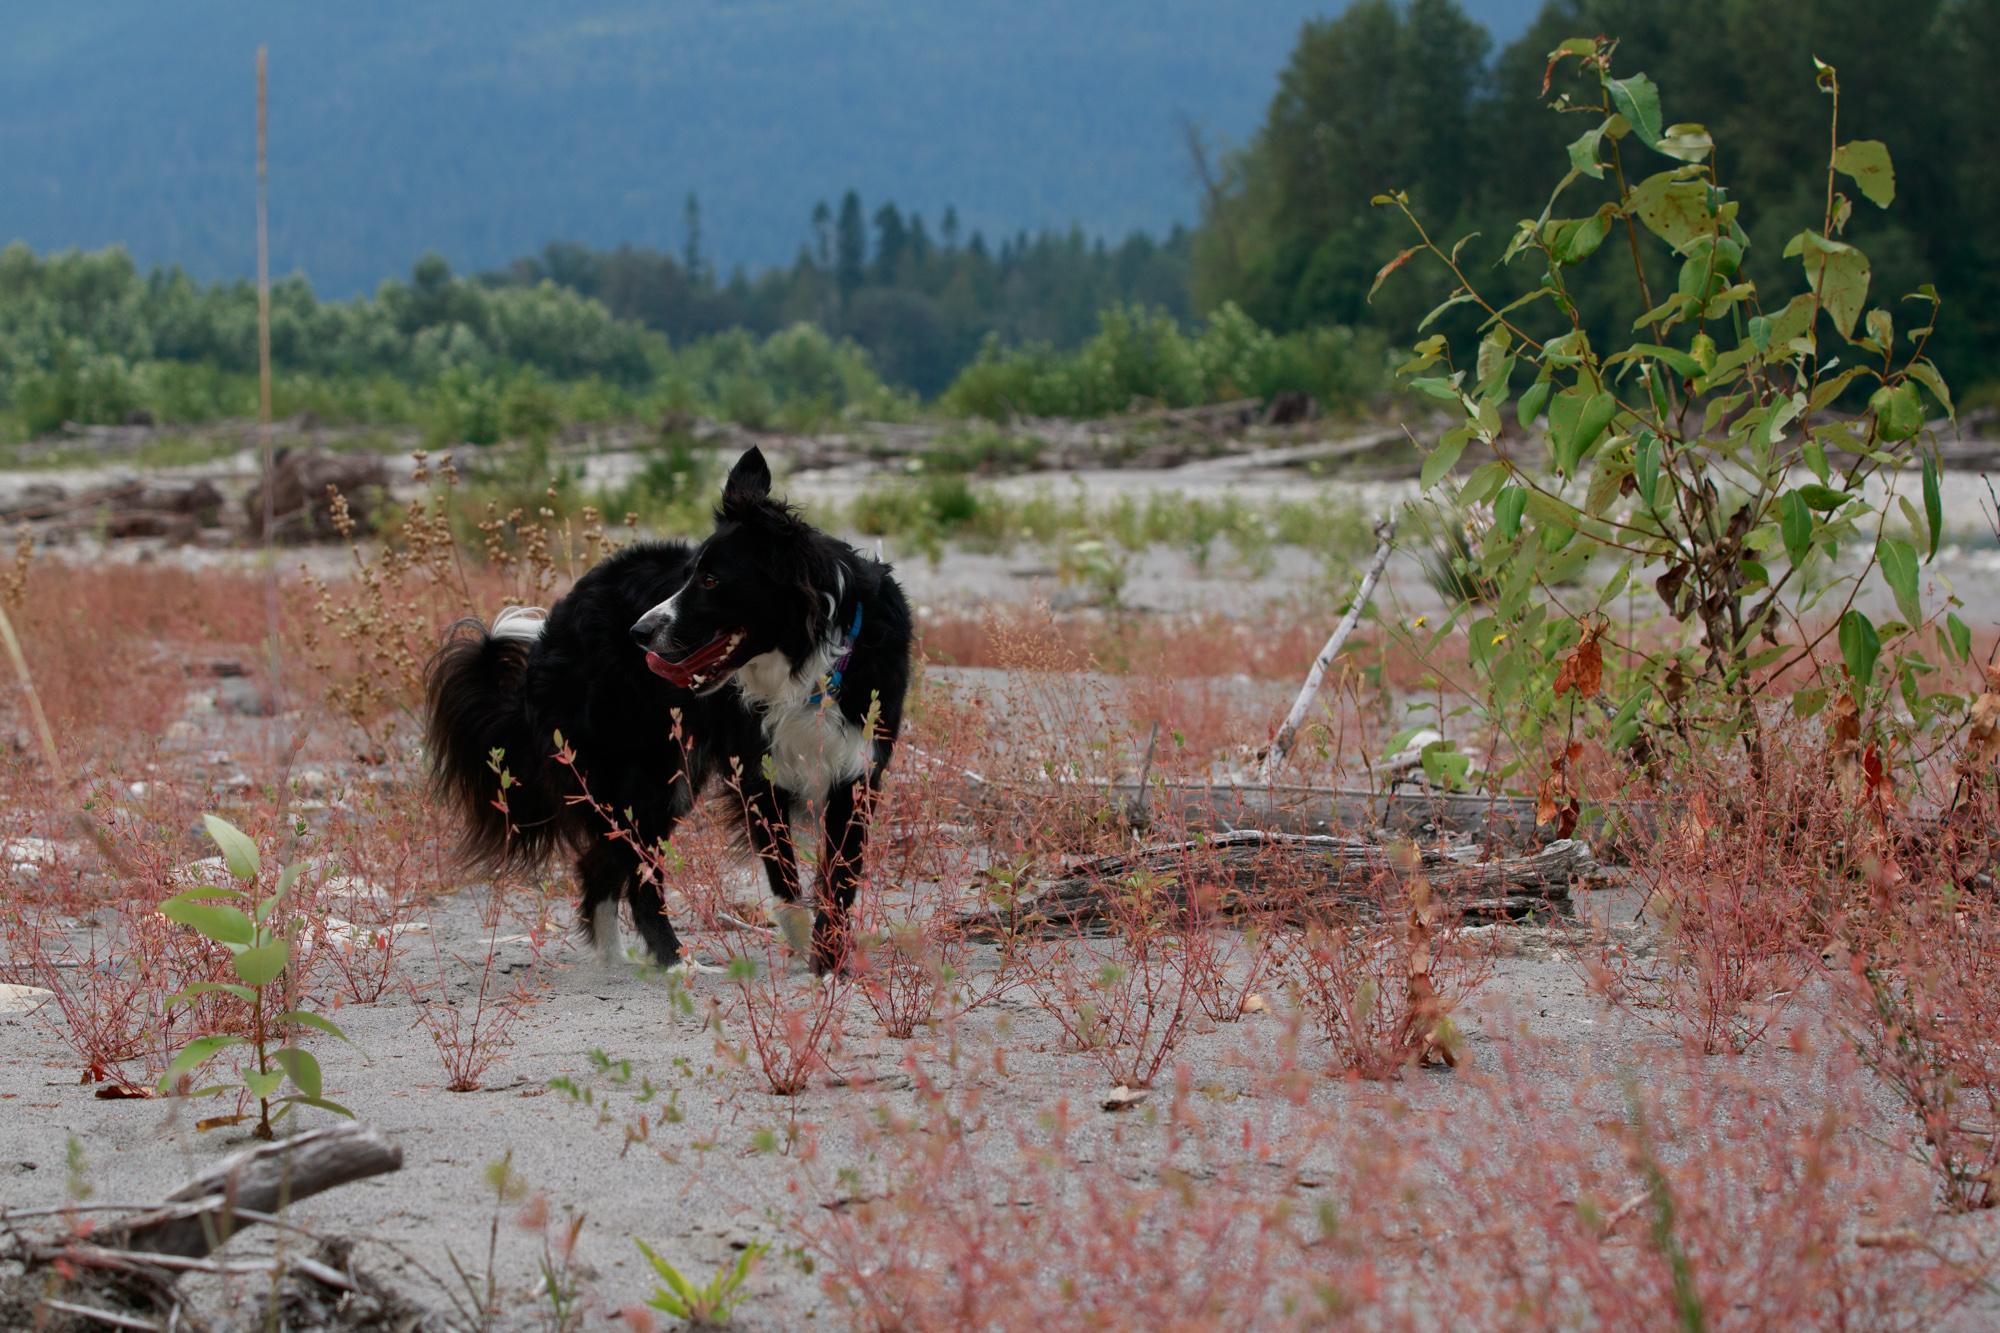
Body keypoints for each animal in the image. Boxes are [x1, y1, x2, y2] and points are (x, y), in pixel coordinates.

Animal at [434, 440, 916, 972]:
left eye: (710, 581)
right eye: (686, 577)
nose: (639, 633)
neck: (806, 667)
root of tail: (554, 624)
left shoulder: (856, 768)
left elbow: (839, 881)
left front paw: (828, 967)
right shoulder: (759, 773)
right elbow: (785, 881)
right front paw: (803, 951)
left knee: (602, 864)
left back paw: (617, 962)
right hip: (646, 770)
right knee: (634, 871)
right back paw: (675, 963)